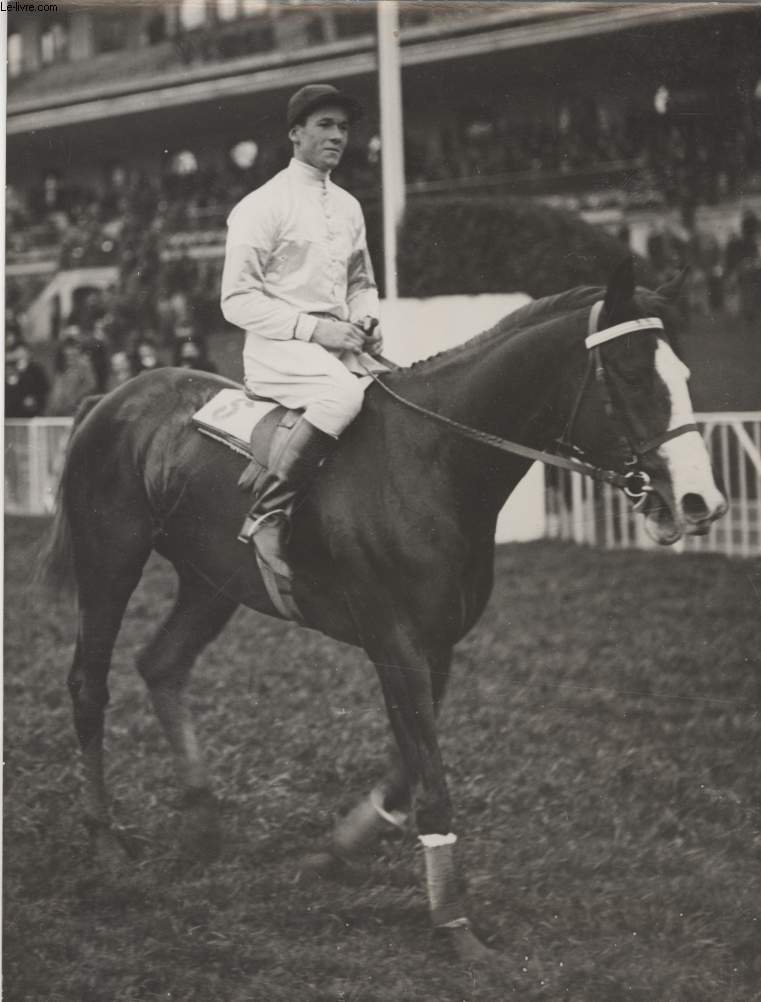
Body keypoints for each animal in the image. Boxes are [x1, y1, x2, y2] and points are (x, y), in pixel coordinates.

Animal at [40, 262, 725, 957]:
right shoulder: (395, 643)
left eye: (685, 374)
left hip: (212, 582)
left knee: (163, 665)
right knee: (89, 685)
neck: (432, 461)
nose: (701, 502)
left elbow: (407, 769)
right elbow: (431, 779)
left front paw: (335, 853)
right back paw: (104, 838)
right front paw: (454, 922)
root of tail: (113, 398)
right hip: (110, 564)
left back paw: (203, 820)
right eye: (633, 375)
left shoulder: (435, 642)